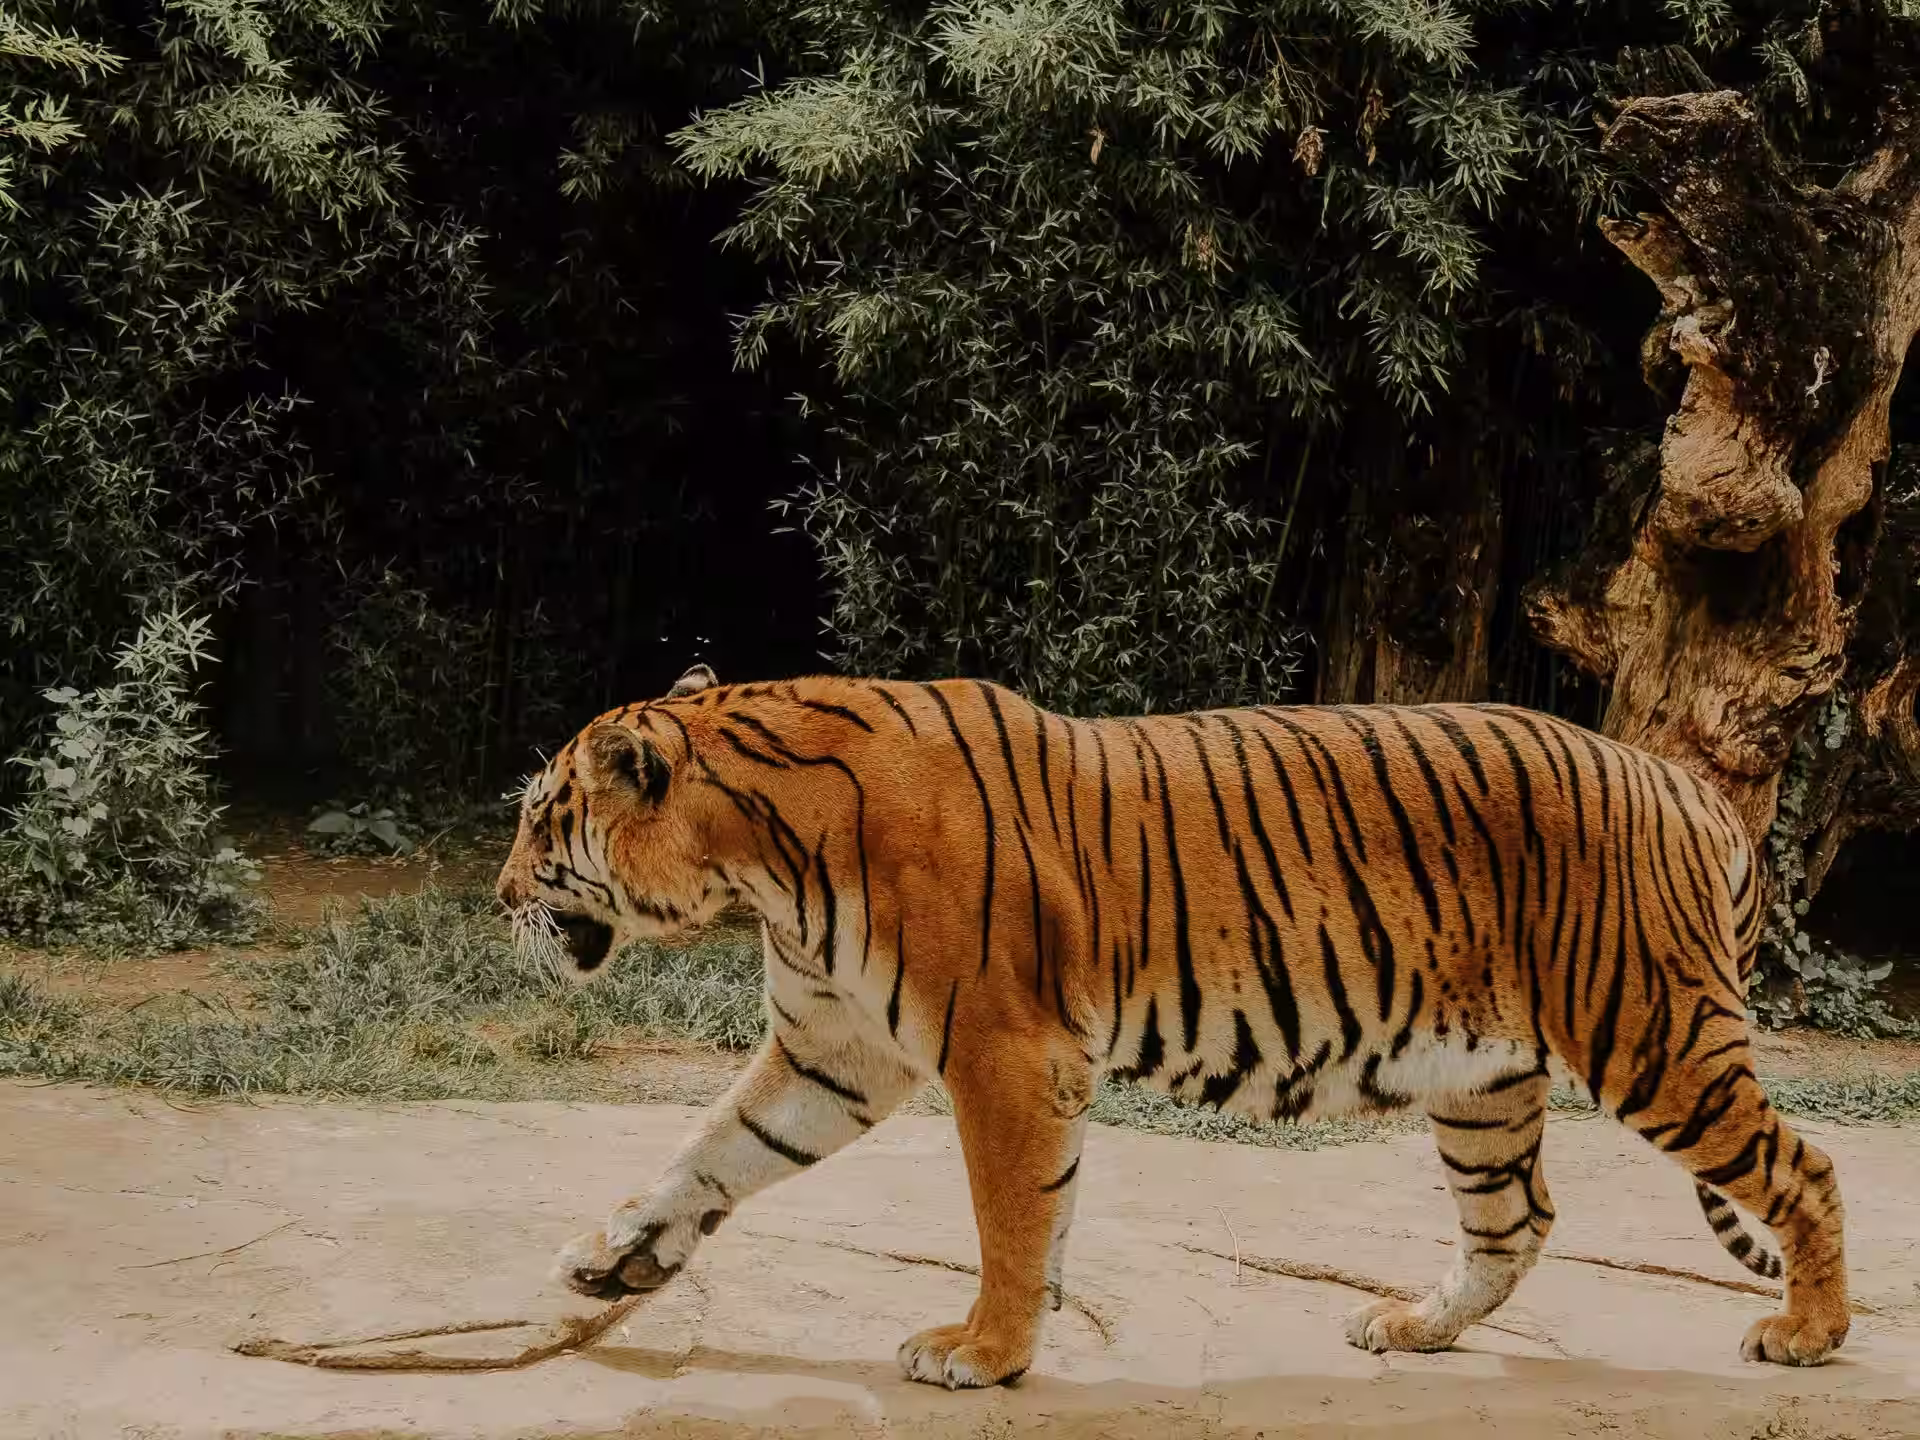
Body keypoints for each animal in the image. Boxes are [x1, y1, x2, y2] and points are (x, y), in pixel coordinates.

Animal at [494, 665, 1848, 1388]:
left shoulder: (1004, 1052)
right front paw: (611, 1260)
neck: (758, 865)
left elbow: (1009, 1219)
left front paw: (983, 1352)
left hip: (1651, 1034)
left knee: (1806, 1169)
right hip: (1483, 1079)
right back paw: (1409, 1327)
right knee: (1516, 1220)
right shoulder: (835, 1054)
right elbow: (712, 1153)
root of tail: (1687, 785)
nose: (501, 897)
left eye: (541, 817)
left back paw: (1809, 1333)